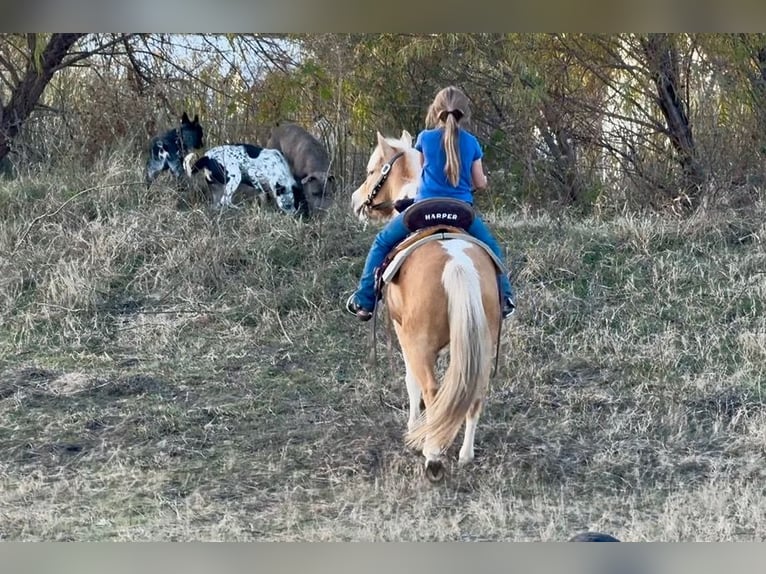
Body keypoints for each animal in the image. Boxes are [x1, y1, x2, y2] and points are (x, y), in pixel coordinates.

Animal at [350, 131, 503, 482]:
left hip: (419, 342)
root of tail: (457, 263)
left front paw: (413, 429)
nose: (355, 200)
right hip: (482, 343)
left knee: (432, 390)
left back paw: (432, 455)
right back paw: (464, 454)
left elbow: (413, 384)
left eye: (371, 170)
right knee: (473, 393)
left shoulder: (404, 335)